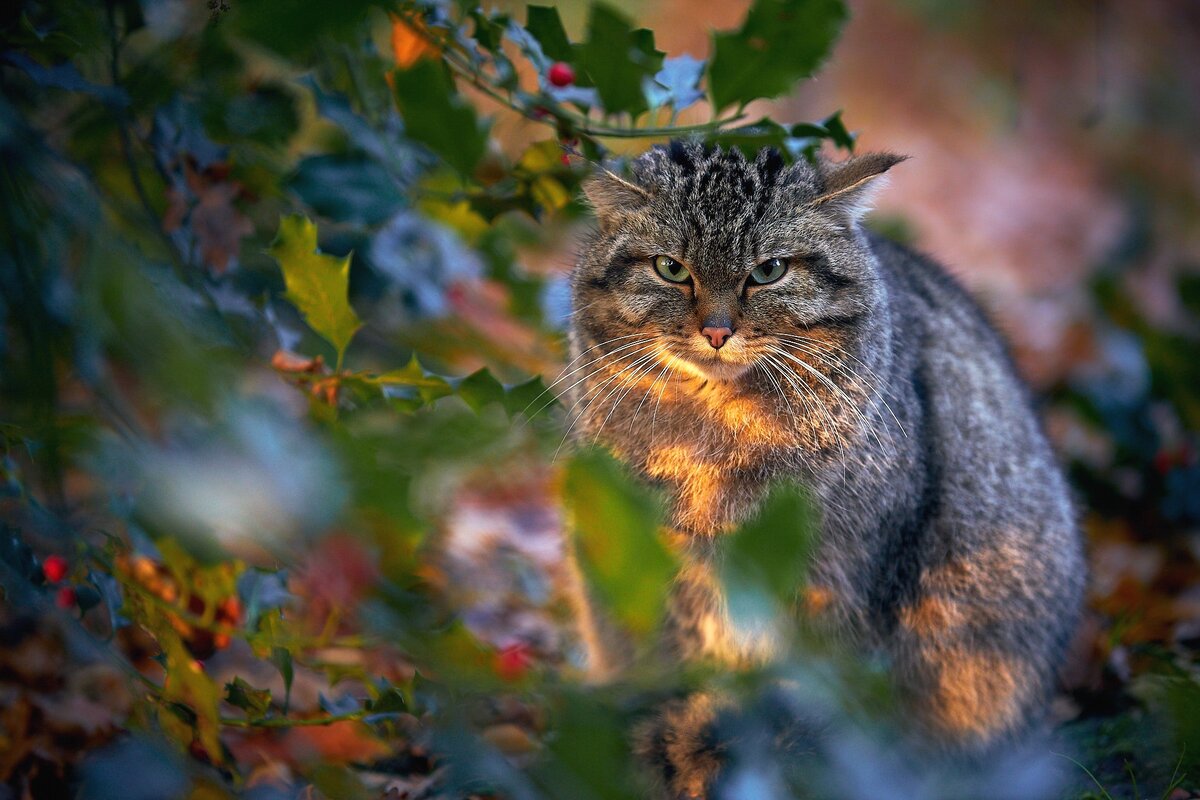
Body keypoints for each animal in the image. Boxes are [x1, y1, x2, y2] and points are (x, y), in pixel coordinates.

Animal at [564, 140, 1089, 796]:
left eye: (769, 271)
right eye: (671, 268)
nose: (716, 330)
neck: (712, 440)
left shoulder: (836, 585)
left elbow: (812, 696)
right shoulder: (650, 563)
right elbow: (675, 666)